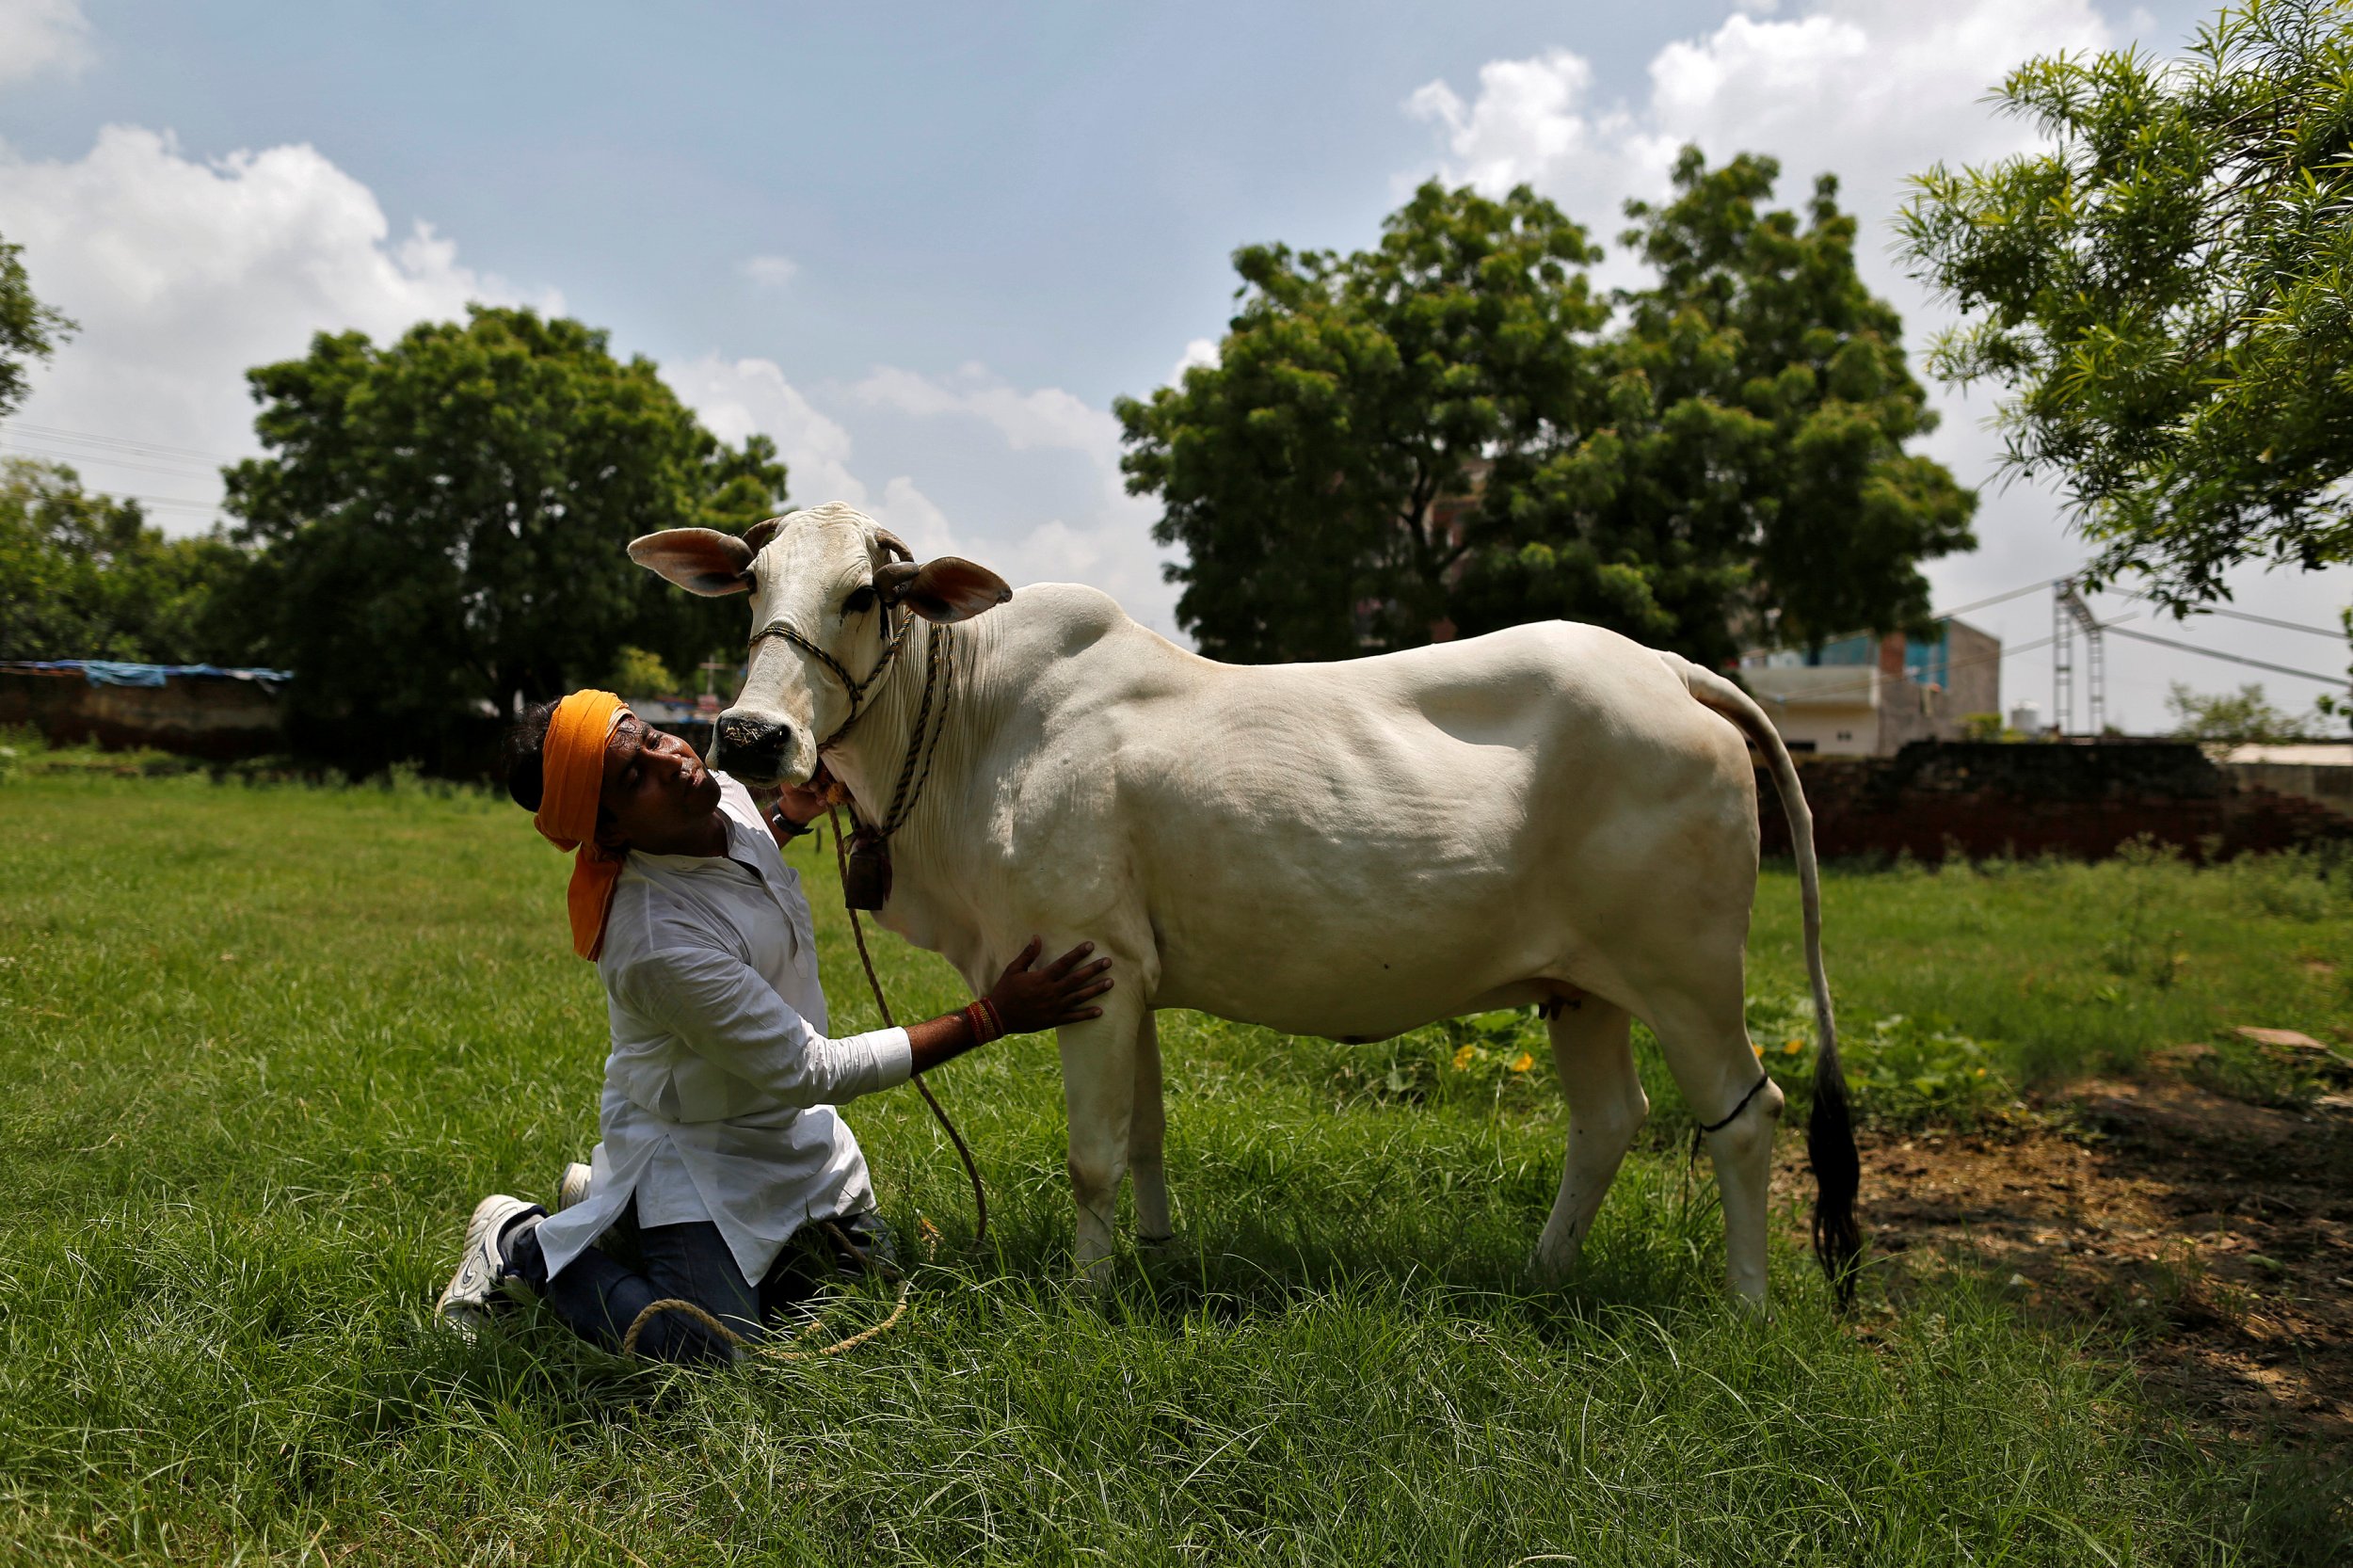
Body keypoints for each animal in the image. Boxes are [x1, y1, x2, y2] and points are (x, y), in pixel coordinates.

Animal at [626, 501, 1854, 1289]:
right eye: (752, 587)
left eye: (866, 594)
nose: (752, 736)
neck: (970, 725)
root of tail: (1665, 666)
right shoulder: (1128, 977)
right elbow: (1145, 1135)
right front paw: (1156, 1259)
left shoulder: (1082, 963)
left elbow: (1092, 1152)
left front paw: (1086, 1295)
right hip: (1579, 986)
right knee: (1608, 1122)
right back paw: (1542, 1277)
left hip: (1686, 975)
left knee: (1745, 1118)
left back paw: (1743, 1305)